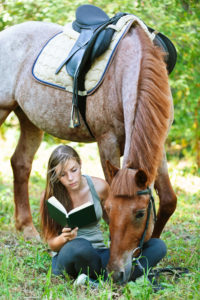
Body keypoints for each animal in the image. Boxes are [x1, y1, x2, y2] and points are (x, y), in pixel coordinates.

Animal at [0, 17, 177, 278]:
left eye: (140, 213)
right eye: (110, 209)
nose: (116, 272)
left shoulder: (158, 144)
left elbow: (167, 200)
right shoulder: (107, 141)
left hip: (29, 119)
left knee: (20, 163)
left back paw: (28, 229)